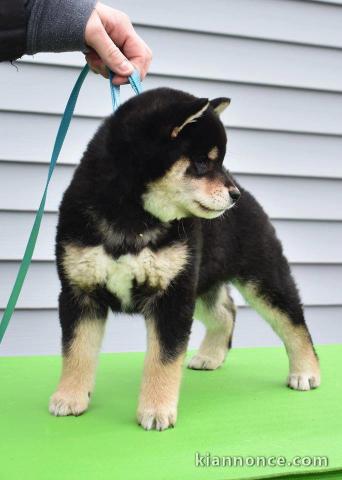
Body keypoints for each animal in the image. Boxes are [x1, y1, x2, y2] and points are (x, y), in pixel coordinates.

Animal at [49, 86, 320, 432]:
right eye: (203, 162)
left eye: (220, 161)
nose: (234, 195)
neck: (133, 218)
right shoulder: (80, 292)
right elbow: (76, 350)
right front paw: (69, 397)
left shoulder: (173, 296)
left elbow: (162, 359)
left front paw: (155, 409)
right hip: (201, 283)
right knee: (225, 312)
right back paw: (211, 356)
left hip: (261, 275)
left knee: (293, 321)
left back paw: (306, 371)